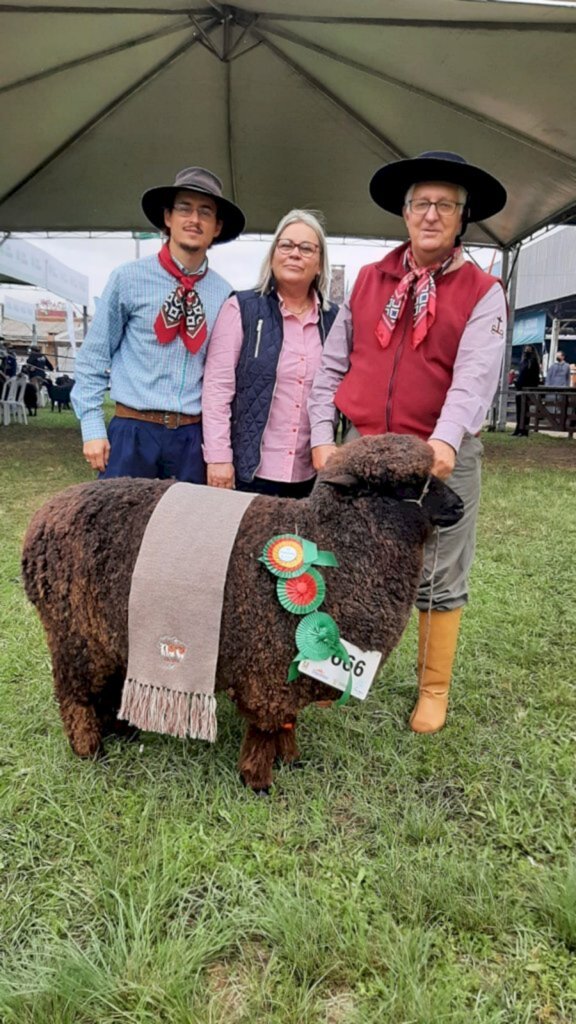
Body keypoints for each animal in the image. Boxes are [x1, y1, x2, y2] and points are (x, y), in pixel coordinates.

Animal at [22, 432, 461, 790]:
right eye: (405, 485)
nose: (458, 506)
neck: (330, 543)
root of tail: (42, 518)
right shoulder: (270, 661)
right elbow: (267, 725)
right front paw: (258, 779)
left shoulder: (290, 666)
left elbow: (286, 721)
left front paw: (291, 760)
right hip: (74, 631)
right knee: (75, 694)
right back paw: (89, 749)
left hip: (111, 631)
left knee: (108, 684)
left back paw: (121, 732)